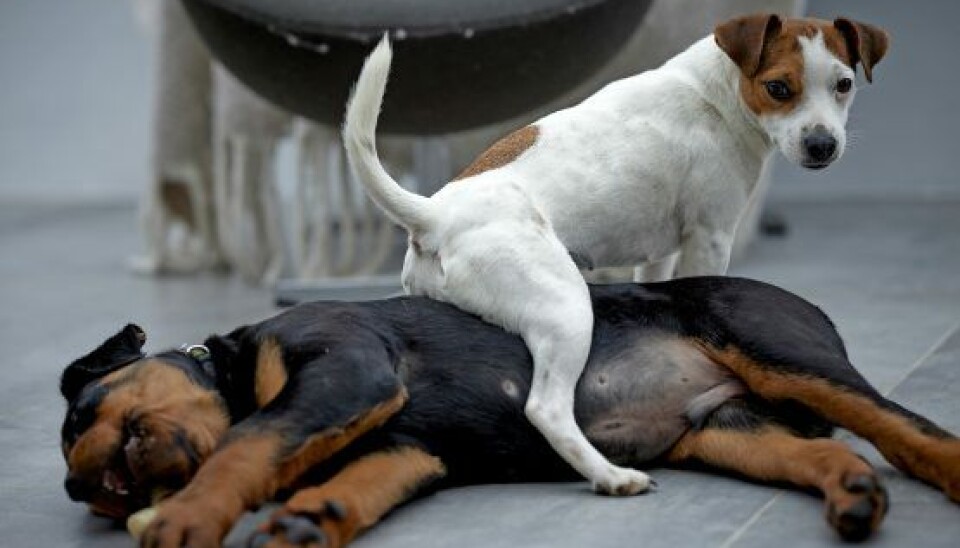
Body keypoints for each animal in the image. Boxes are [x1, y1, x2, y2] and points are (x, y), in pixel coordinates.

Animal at [62, 280, 960, 544]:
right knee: (823, 455)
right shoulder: (407, 446)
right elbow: (350, 482)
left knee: (908, 429)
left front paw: (188, 516)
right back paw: (853, 497)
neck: (238, 368)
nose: (87, 485)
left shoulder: (346, 370)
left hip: (783, 352)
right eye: (98, 500)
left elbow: (248, 441)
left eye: (85, 410)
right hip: (732, 432)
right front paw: (310, 520)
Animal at [342, 13, 888, 492]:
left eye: (843, 84)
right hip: (565, 310)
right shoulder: (709, 236)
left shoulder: (657, 255)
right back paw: (612, 476)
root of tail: (433, 213)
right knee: (546, 409)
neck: (714, 94)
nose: (822, 145)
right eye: (778, 88)